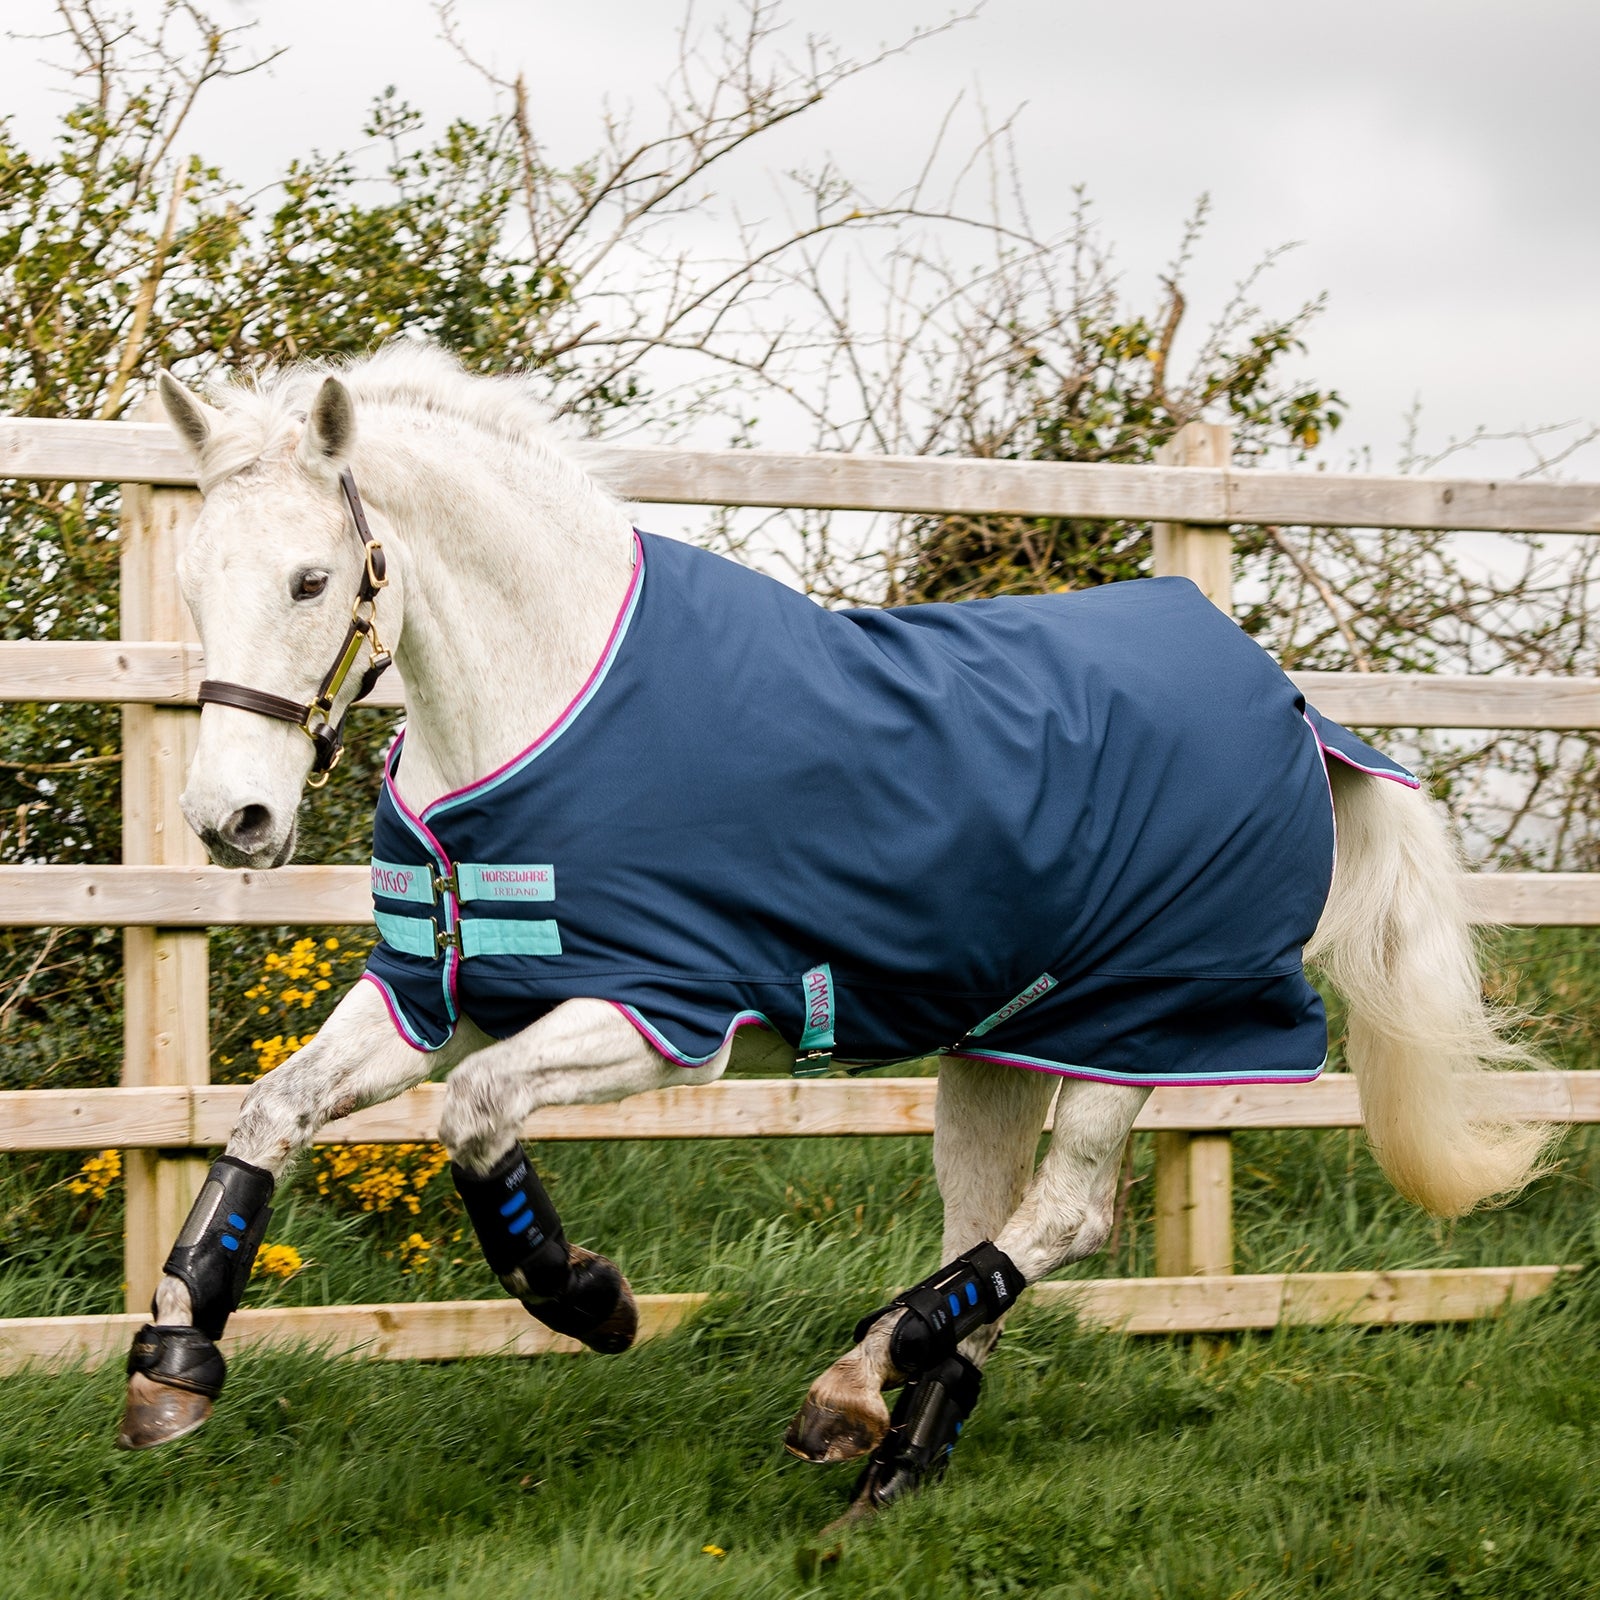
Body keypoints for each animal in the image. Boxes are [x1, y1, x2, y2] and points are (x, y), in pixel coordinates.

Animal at [118, 344, 1549, 1522]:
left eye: (312, 578)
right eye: (194, 580)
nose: (231, 818)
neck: (547, 707)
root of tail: (1300, 711)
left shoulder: (661, 1013)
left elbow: (475, 1118)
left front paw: (589, 1299)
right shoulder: (432, 992)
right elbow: (269, 1111)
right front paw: (173, 1367)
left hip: (1145, 1028)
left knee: (1066, 1216)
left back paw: (852, 1383)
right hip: (998, 1047)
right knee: (992, 1226)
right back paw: (891, 1455)